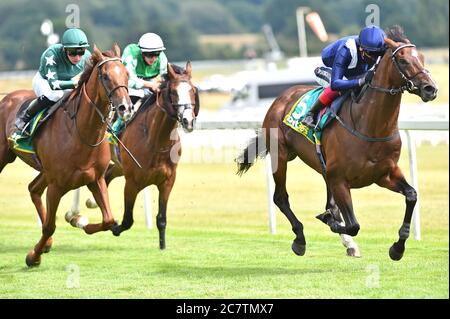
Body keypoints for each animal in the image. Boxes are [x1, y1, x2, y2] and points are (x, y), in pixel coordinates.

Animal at [0, 43, 134, 268]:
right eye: (106, 76)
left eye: (127, 74)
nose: (126, 107)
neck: (81, 133)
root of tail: (8, 97)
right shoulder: (56, 186)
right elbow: (49, 226)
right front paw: (33, 256)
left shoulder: (95, 179)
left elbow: (108, 220)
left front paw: (78, 221)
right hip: (7, 158)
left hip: (45, 172)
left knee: (33, 189)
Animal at [67, 62, 198, 250]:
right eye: (173, 91)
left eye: (193, 90)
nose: (188, 121)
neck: (156, 140)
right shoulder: (132, 183)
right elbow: (127, 220)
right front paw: (110, 226)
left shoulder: (167, 181)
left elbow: (162, 219)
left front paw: (162, 246)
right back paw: (73, 214)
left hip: (119, 165)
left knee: (107, 175)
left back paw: (90, 202)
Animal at [237, 26, 438, 262]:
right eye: (404, 60)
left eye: (422, 58)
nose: (430, 88)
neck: (369, 125)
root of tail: (281, 98)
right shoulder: (340, 179)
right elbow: (352, 224)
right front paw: (329, 221)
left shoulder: (384, 175)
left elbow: (412, 195)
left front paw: (398, 248)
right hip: (282, 156)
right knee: (281, 198)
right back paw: (300, 239)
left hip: (324, 170)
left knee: (328, 204)